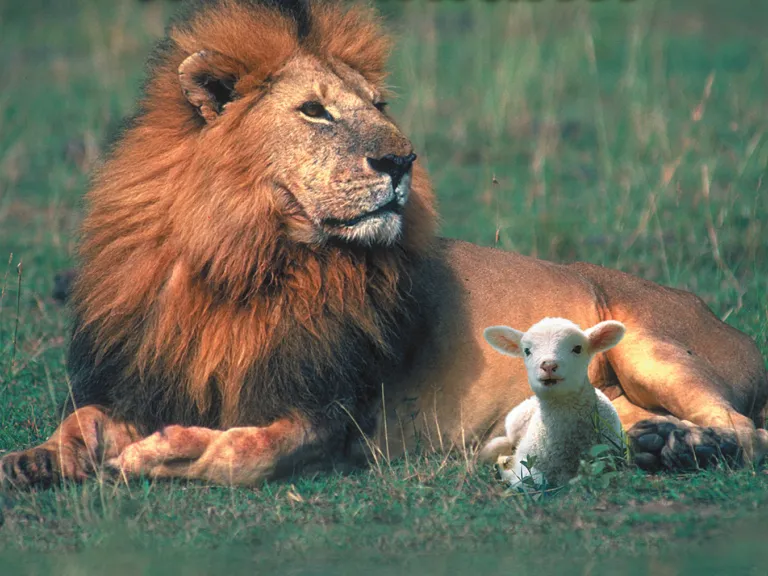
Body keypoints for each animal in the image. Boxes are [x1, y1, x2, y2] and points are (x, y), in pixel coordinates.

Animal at [478, 317, 627, 488]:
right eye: (527, 351)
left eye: (577, 348)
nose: (548, 365)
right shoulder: (527, 463)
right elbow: (531, 479)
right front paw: (505, 469)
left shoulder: (609, 456)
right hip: (513, 423)